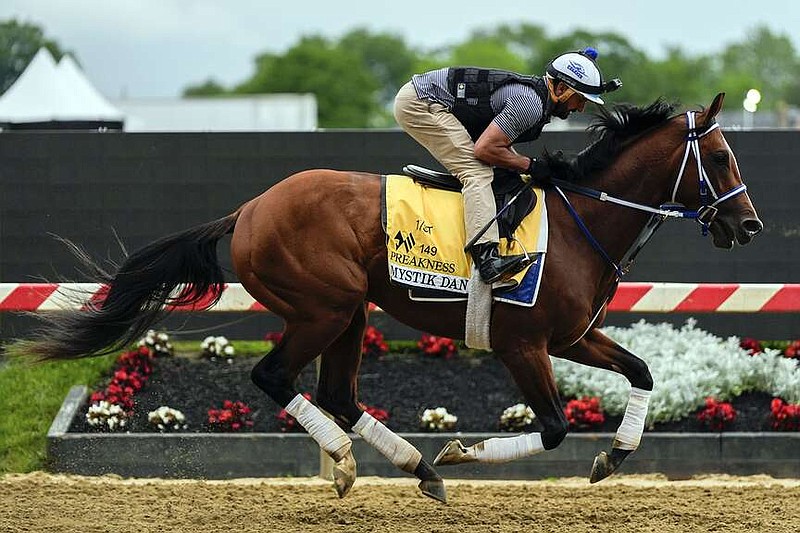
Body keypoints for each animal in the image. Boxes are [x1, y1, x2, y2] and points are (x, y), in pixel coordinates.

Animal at [14, 92, 764, 502]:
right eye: (723, 157)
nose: (748, 224)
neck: (583, 218)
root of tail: (249, 208)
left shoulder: (571, 335)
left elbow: (642, 370)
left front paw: (614, 456)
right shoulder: (523, 343)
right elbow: (552, 426)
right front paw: (461, 453)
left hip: (351, 310)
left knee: (338, 394)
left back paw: (411, 466)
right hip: (325, 303)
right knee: (274, 375)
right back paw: (364, 463)